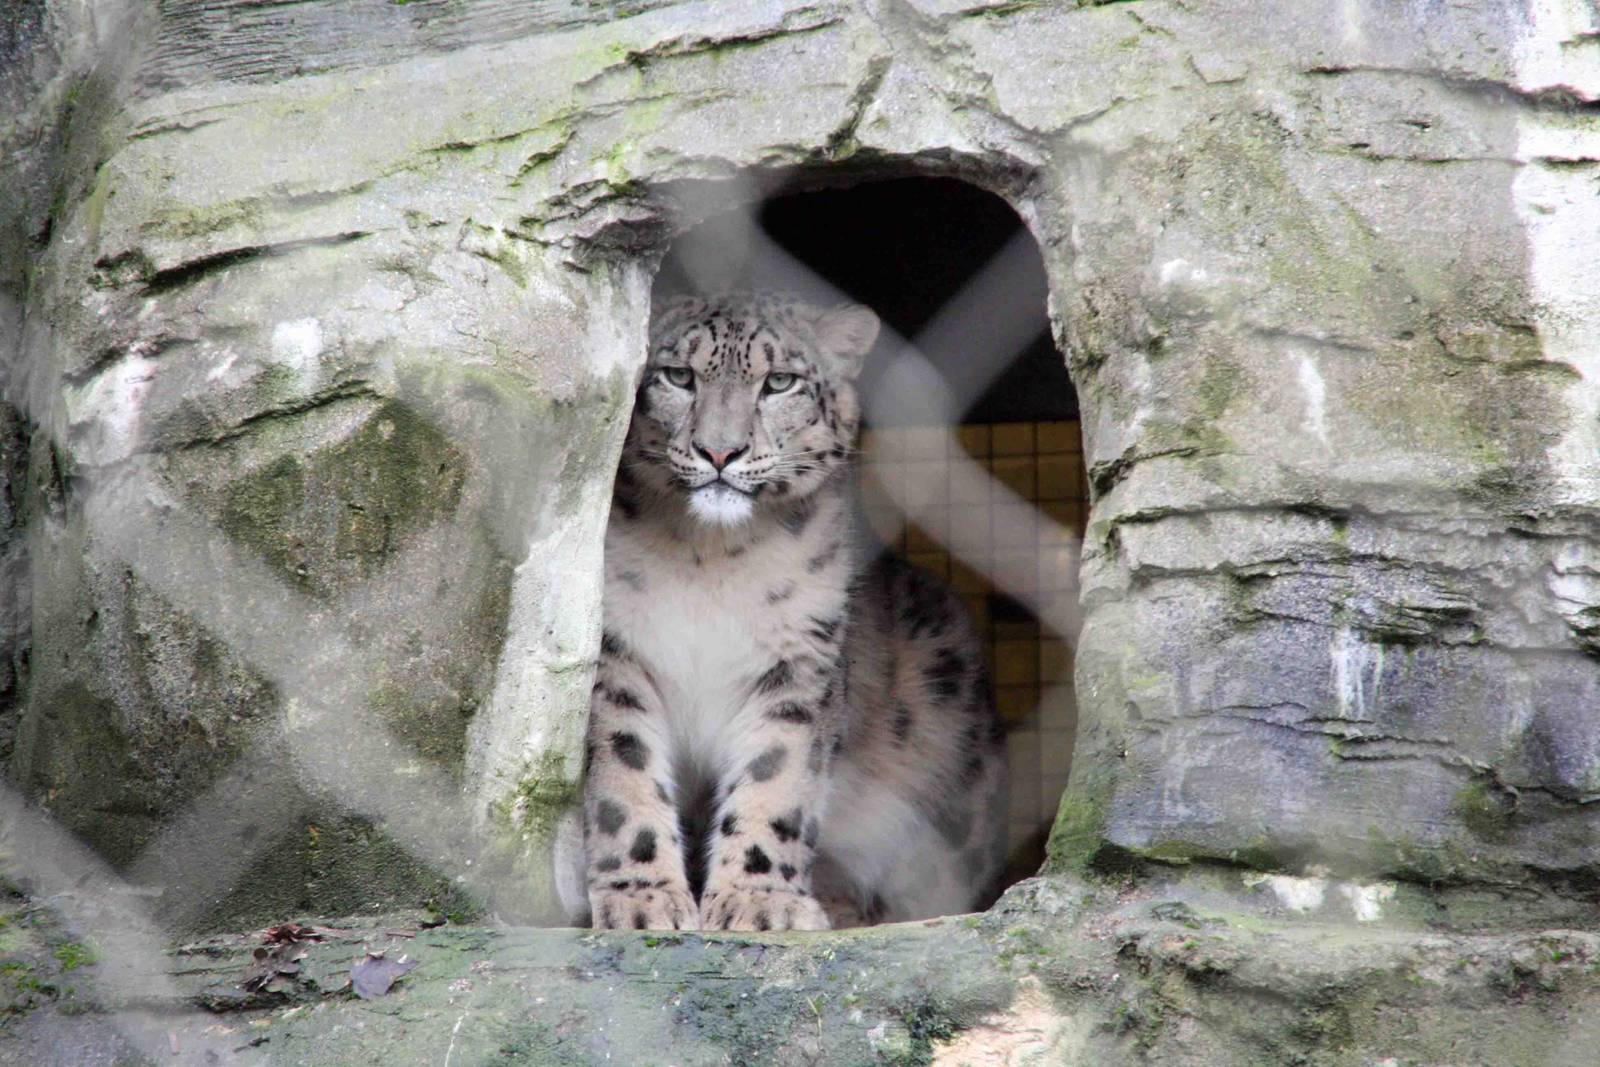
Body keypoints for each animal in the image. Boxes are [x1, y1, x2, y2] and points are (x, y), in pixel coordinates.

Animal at [581, 290, 1008, 931]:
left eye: (779, 382)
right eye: (678, 376)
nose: (720, 451)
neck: (710, 559)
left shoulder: (798, 660)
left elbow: (774, 777)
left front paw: (759, 902)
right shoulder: (619, 655)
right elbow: (623, 773)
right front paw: (642, 900)